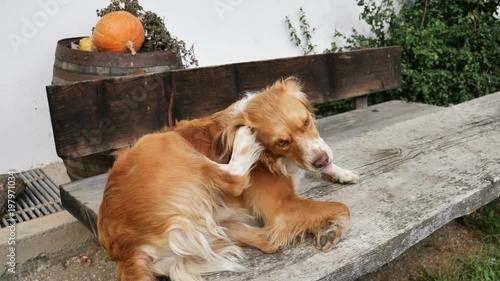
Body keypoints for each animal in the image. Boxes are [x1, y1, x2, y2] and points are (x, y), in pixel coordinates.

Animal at [97, 77, 362, 280]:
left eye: (306, 122)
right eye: (281, 142)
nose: (321, 161)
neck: (272, 158)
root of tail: (124, 247)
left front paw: (340, 172)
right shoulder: (282, 207)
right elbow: (342, 207)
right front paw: (333, 225)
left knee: (265, 239)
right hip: (164, 142)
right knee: (243, 195)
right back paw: (244, 141)